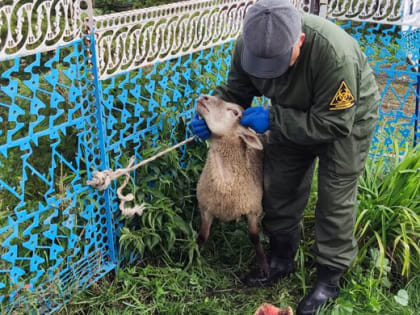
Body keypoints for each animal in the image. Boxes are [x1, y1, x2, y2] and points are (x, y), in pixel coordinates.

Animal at [194, 95, 268, 278]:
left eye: (234, 112)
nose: (204, 97)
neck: (226, 183)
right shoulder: (205, 207)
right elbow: (202, 236)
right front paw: (193, 260)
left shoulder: (253, 209)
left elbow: (254, 236)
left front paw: (263, 265)